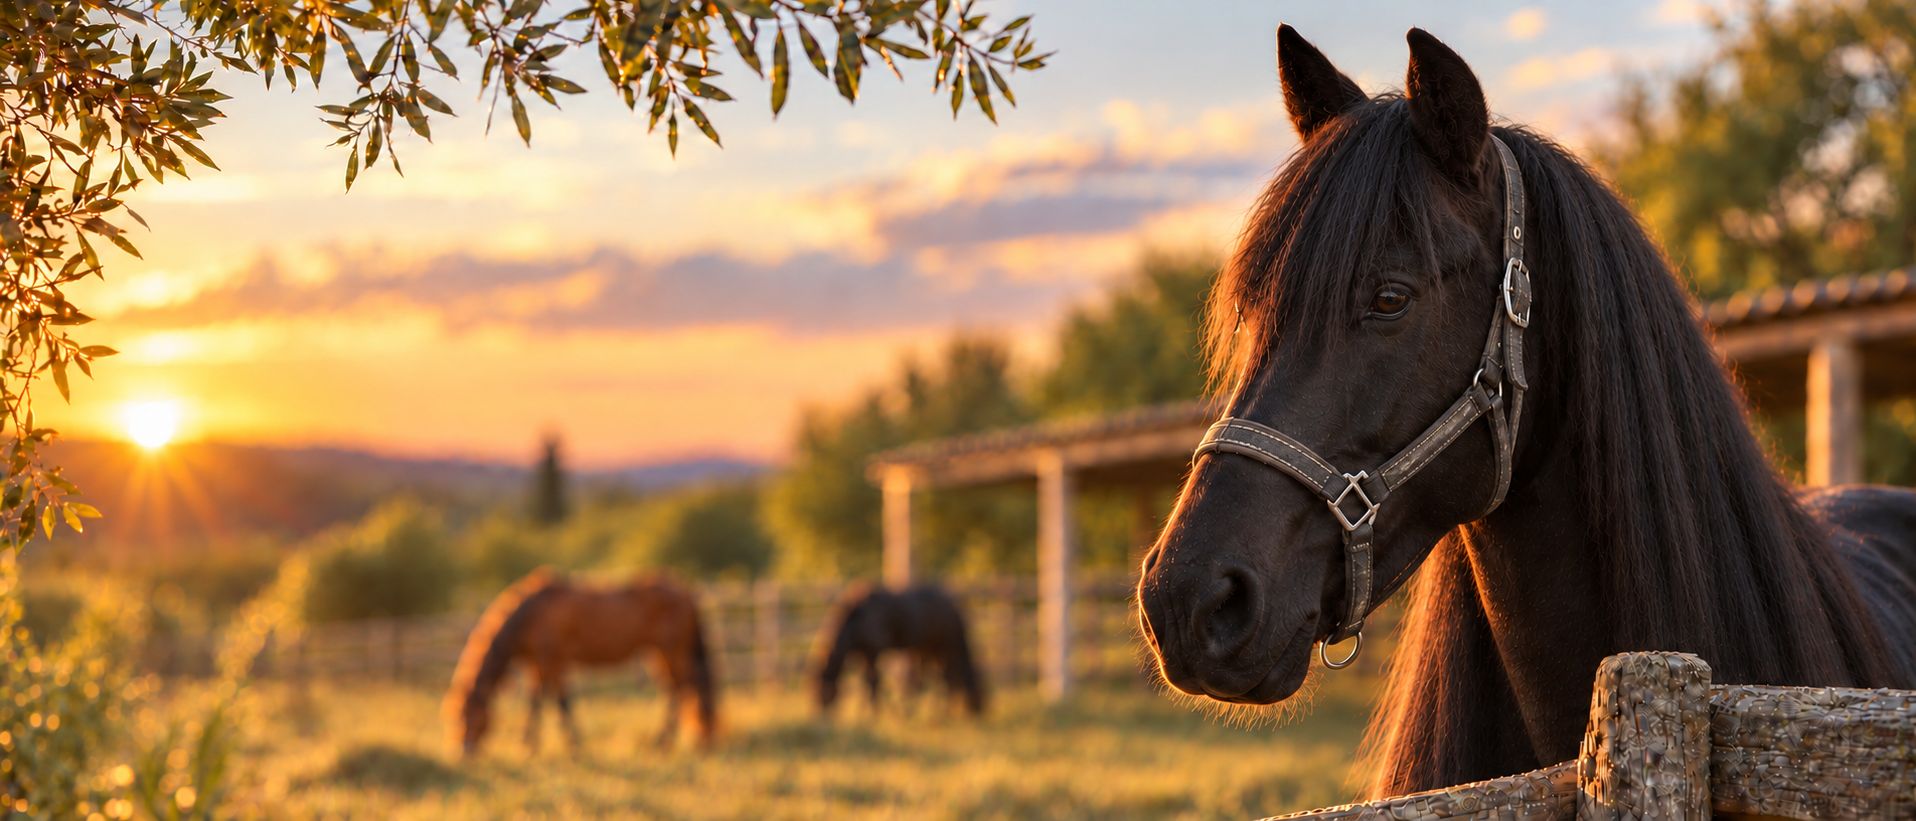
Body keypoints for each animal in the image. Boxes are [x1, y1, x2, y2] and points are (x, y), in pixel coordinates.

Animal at [443, 568, 717, 757]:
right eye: (455, 717)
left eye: (467, 715)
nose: (463, 751)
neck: (532, 613)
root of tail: (686, 592)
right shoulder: (538, 664)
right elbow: (541, 700)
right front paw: (535, 744)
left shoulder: (552, 661)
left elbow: (556, 702)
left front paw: (556, 746)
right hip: (658, 654)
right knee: (678, 689)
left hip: (672, 650)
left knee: (684, 688)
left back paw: (666, 743)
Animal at [812, 582, 987, 718]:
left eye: (819, 687)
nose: (819, 711)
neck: (857, 616)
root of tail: (952, 606)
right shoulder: (863, 654)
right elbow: (866, 681)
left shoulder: (873, 651)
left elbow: (873, 680)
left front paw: (872, 713)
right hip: (932, 650)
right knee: (941, 678)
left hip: (943, 648)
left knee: (947, 678)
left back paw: (942, 711)